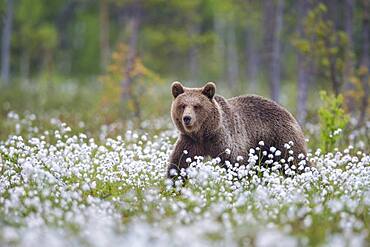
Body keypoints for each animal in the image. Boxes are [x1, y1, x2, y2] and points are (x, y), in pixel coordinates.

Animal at [167, 82, 306, 178]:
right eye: (182, 105)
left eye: (197, 106)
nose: (187, 118)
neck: (205, 134)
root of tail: (287, 111)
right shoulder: (190, 142)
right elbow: (179, 164)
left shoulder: (225, 140)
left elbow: (236, 162)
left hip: (281, 139)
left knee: (296, 161)